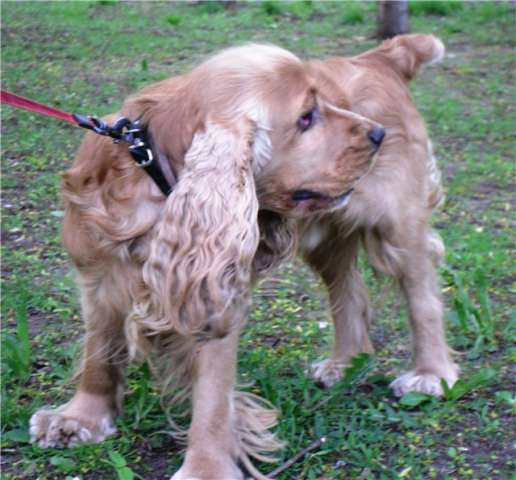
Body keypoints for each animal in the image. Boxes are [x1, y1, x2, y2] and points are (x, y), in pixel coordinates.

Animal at [29, 35, 456, 478]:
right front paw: (79, 419)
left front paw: (204, 468)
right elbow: (99, 354)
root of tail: (381, 57)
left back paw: (430, 373)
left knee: (423, 297)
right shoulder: (98, 280)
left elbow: (213, 400)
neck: (155, 186)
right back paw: (343, 364)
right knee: (348, 291)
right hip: (326, 236)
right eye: (306, 117)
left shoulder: (215, 300)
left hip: (398, 222)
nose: (377, 134)